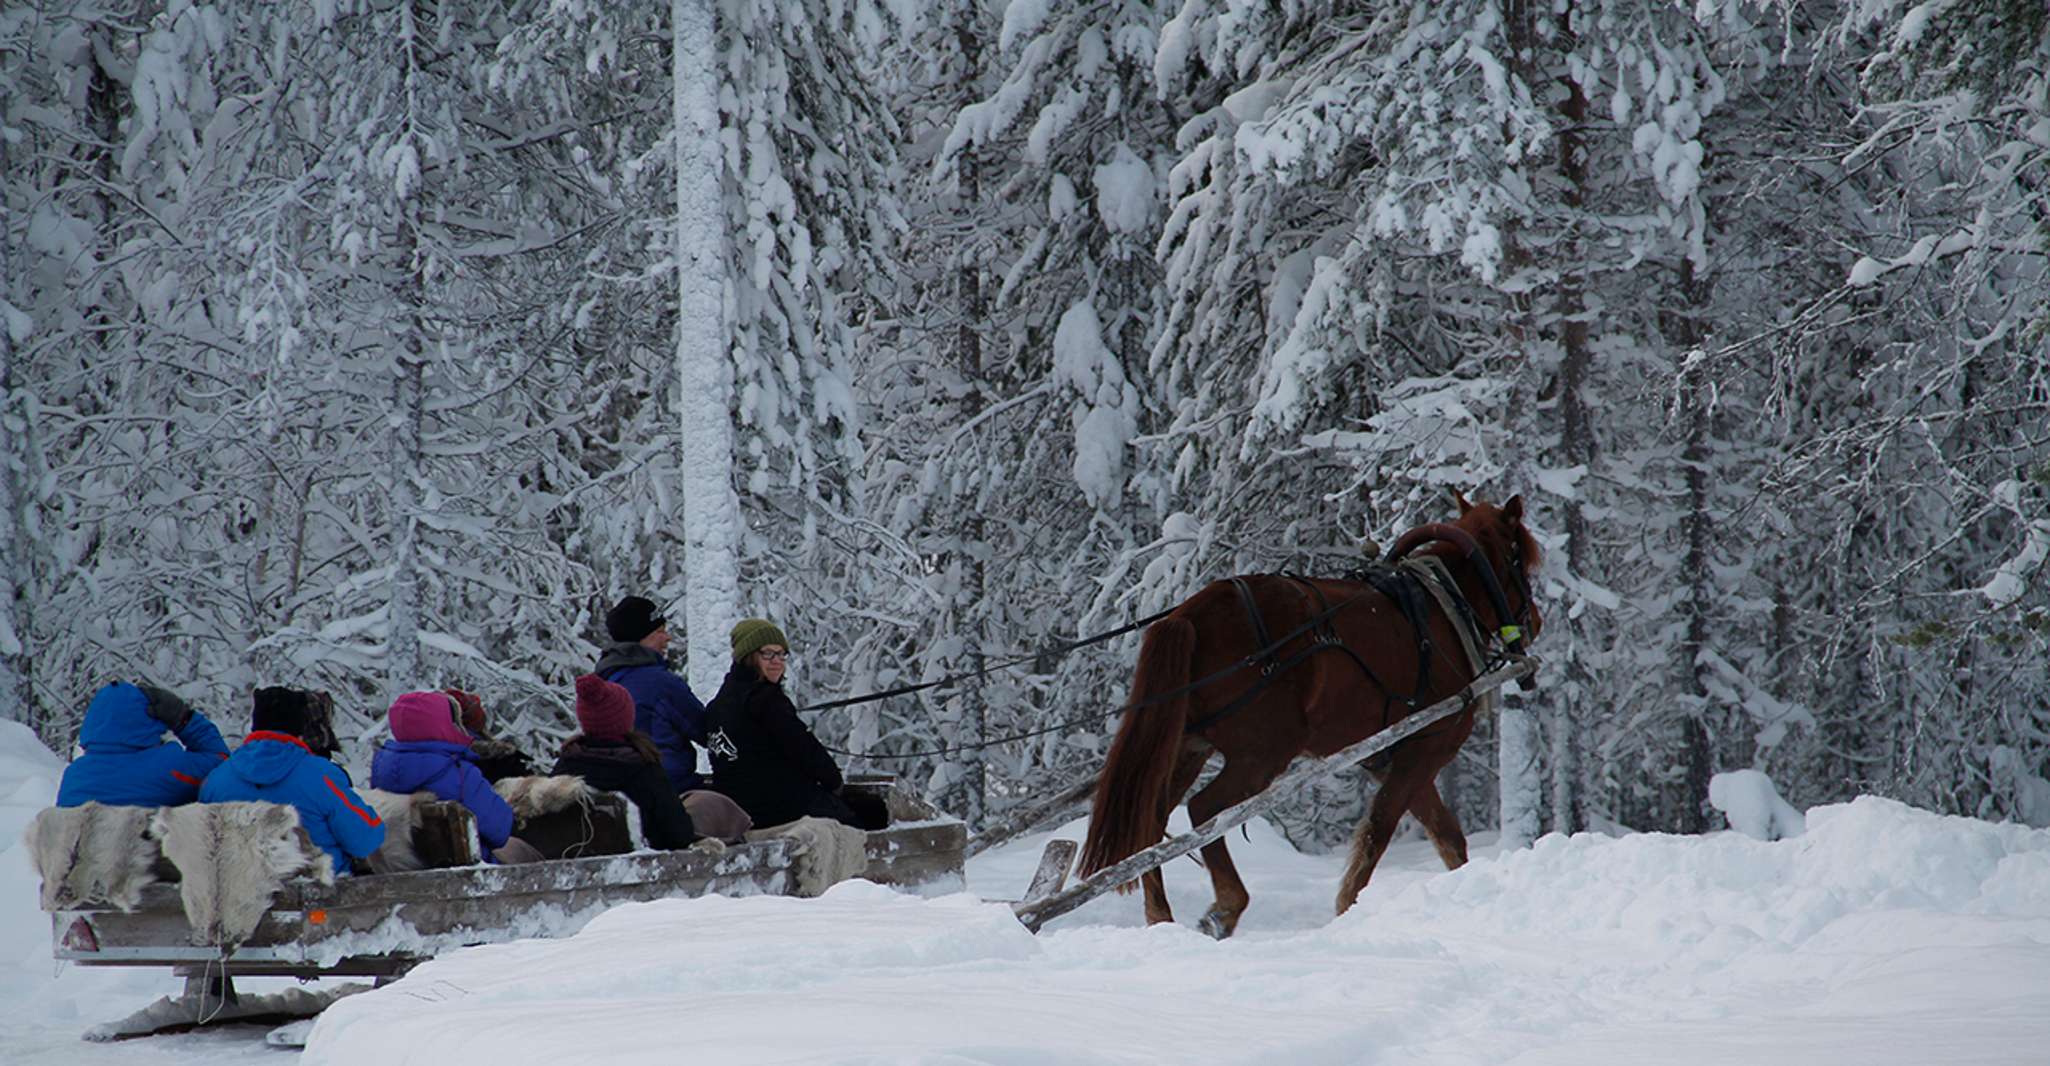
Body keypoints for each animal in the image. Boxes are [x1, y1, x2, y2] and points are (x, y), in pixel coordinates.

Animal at [1075, 493, 1543, 938]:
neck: (1444, 608)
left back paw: (1161, 915)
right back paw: (1227, 906)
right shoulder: (1427, 745)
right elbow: (1378, 830)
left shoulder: (1393, 756)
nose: (1535, 621)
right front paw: (1348, 907)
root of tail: (1192, 613)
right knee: (1207, 809)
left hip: (1188, 746)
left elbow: (1446, 835)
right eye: (1519, 560)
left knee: (1150, 820)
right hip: (1264, 751)